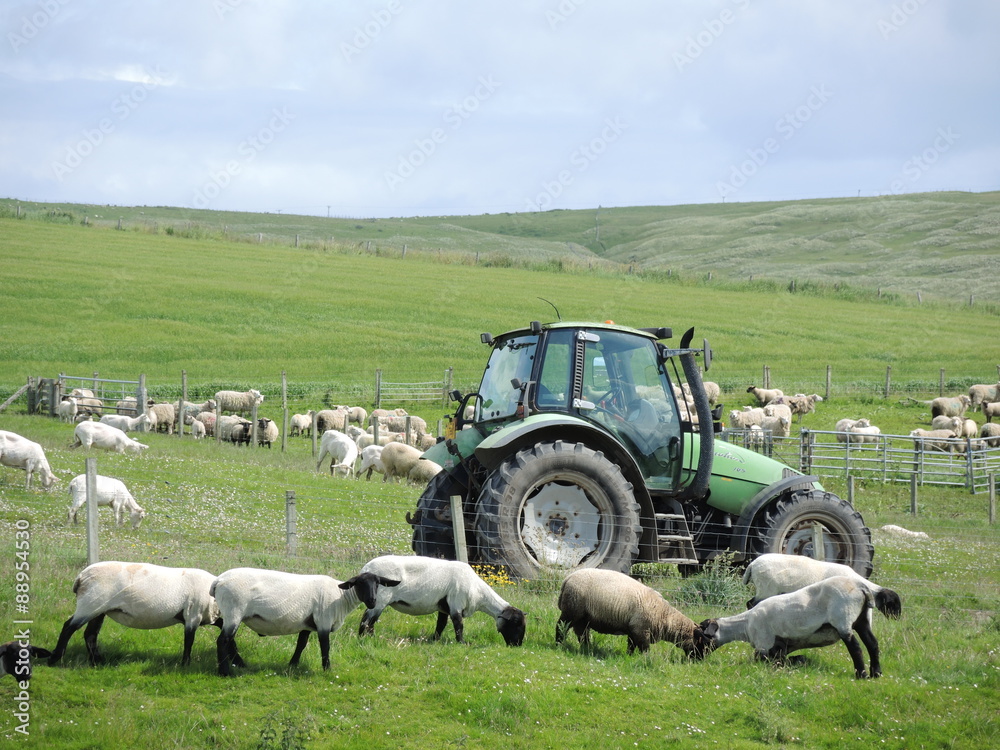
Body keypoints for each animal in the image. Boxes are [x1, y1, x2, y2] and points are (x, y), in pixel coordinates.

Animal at [48, 561, 224, 667]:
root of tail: (81, 577)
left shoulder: (205, 617)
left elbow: (221, 625)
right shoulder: (193, 615)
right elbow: (189, 641)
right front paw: (185, 664)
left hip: (99, 610)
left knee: (90, 634)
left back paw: (97, 661)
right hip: (89, 604)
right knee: (69, 627)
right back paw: (54, 658)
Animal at [211, 567, 395, 676]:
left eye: (378, 584)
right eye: (360, 583)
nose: (372, 601)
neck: (340, 597)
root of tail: (218, 581)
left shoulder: (307, 623)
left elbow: (301, 643)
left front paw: (293, 664)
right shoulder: (323, 622)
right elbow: (325, 647)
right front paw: (327, 669)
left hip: (232, 614)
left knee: (228, 638)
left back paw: (239, 663)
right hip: (234, 611)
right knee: (223, 640)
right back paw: (224, 671)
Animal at [357, 555, 526, 646]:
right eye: (515, 623)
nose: (517, 645)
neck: (478, 592)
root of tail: (366, 569)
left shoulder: (444, 607)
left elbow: (441, 625)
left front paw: (435, 640)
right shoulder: (456, 604)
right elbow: (458, 626)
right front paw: (462, 643)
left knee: (367, 620)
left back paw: (364, 638)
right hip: (380, 599)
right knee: (368, 620)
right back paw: (367, 638)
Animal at [556, 568, 711, 657]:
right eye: (701, 643)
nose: (700, 660)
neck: (665, 616)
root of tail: (567, 579)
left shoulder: (633, 629)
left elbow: (631, 645)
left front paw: (629, 656)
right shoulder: (641, 629)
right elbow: (644, 648)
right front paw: (646, 659)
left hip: (583, 617)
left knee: (582, 633)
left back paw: (587, 648)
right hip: (572, 610)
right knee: (561, 627)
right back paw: (558, 644)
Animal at [699, 576, 883, 679]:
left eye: (701, 634)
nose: (695, 658)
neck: (745, 625)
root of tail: (861, 587)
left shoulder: (764, 646)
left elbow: (765, 660)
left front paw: (799, 660)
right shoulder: (781, 647)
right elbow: (785, 658)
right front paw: (800, 660)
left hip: (843, 618)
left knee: (856, 648)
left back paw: (862, 675)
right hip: (862, 620)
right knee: (872, 644)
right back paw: (876, 674)